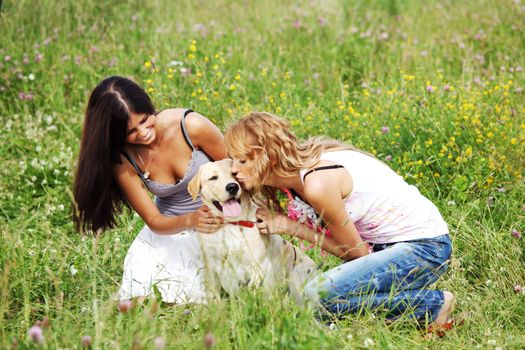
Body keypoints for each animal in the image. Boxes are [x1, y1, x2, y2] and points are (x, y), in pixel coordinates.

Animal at [190, 159, 318, 300]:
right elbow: (214, 296)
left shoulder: (257, 266)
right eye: (213, 178)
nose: (232, 187)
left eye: (234, 174)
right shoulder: (211, 267)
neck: (232, 223)